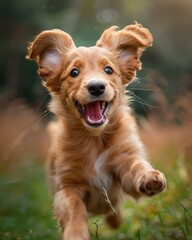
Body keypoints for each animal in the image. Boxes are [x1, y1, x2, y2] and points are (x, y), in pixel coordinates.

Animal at [27, 23, 166, 240]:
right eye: (74, 72)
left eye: (108, 70)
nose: (96, 87)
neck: (94, 138)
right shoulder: (66, 186)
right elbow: (74, 207)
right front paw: (75, 233)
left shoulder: (123, 160)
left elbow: (136, 166)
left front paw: (150, 177)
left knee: (115, 212)